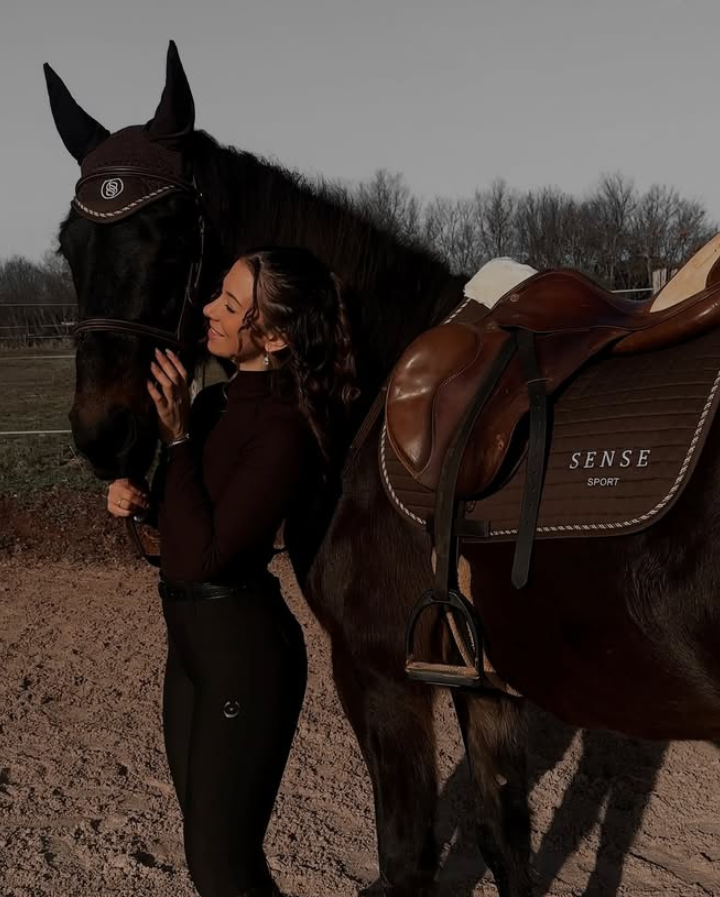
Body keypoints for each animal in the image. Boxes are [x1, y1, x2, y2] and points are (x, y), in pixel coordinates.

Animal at [43, 41, 720, 897]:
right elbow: (505, 840)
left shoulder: (382, 677)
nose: (105, 431)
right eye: (69, 241)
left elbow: (407, 858)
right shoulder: (483, 683)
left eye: (170, 236)